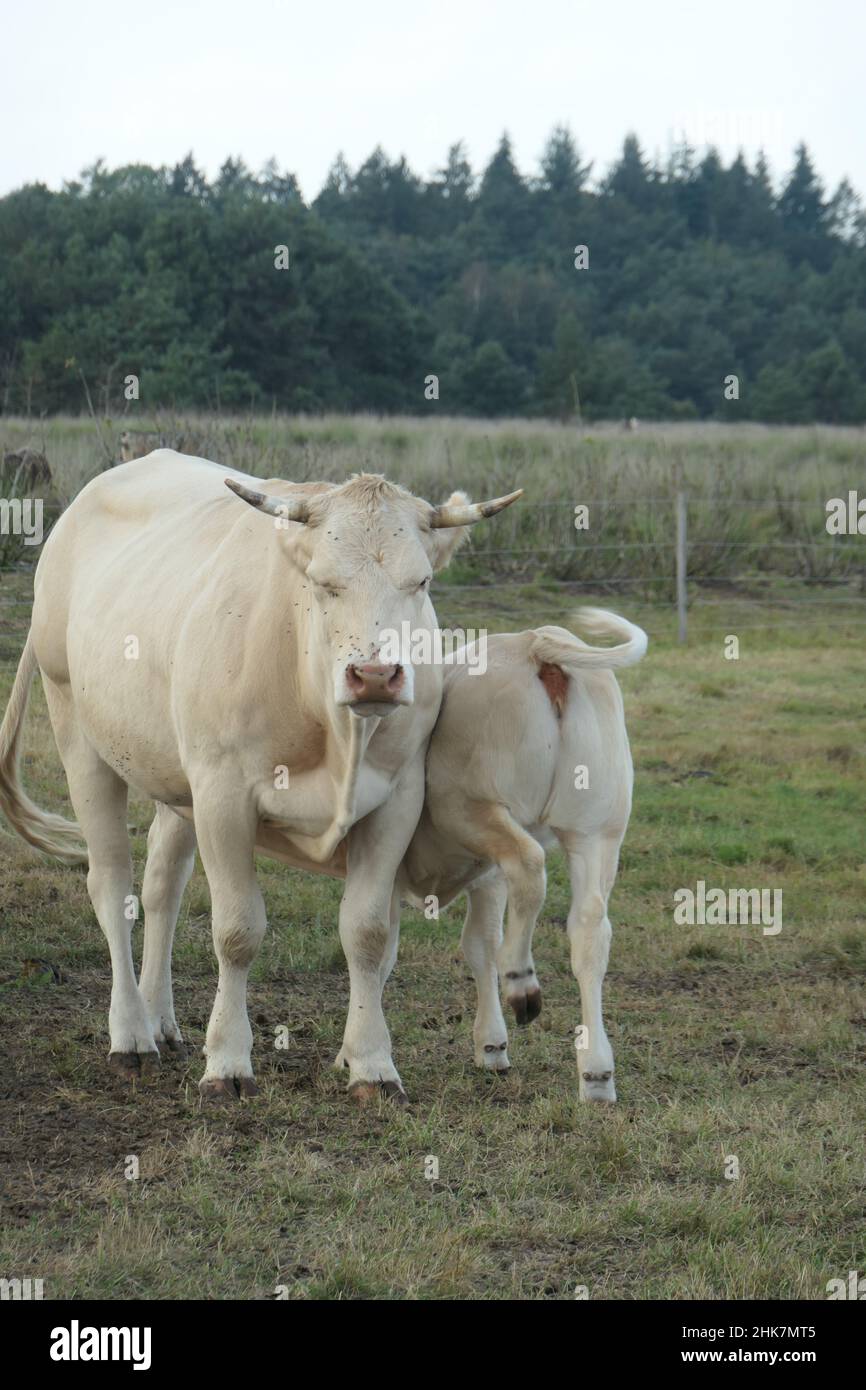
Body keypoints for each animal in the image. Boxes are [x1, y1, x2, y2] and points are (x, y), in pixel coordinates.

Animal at [0, 455, 522, 1106]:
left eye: (421, 582)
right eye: (323, 583)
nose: (376, 676)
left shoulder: (397, 800)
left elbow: (368, 933)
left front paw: (372, 1065)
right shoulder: (223, 796)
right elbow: (237, 931)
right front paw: (227, 1061)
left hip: (177, 778)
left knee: (162, 885)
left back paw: (160, 1019)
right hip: (78, 730)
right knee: (112, 885)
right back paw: (131, 1035)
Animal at [397, 608, 647, 1095]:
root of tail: (535, 642)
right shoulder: (486, 875)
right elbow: (479, 943)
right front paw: (492, 1045)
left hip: (472, 807)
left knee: (529, 864)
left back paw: (521, 980)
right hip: (596, 832)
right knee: (589, 929)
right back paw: (596, 1071)